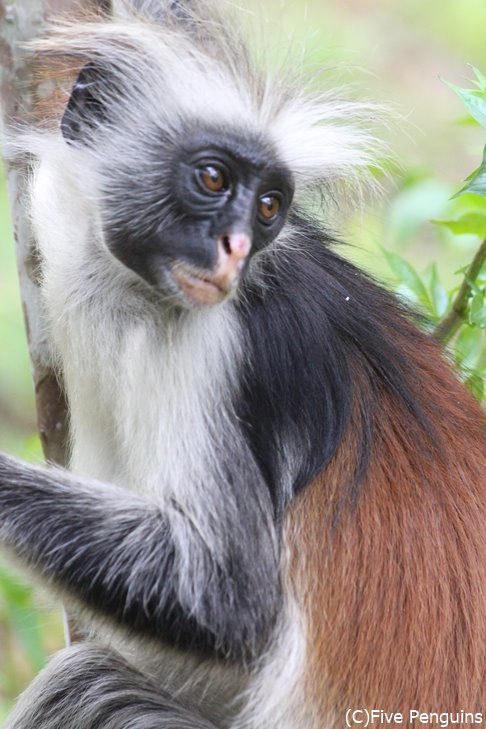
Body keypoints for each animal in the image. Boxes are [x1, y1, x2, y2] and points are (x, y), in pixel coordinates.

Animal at [0, 1, 486, 728]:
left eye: (267, 206)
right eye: (212, 178)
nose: (233, 248)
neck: (129, 291)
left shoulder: (217, 348)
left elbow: (228, 603)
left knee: (84, 681)